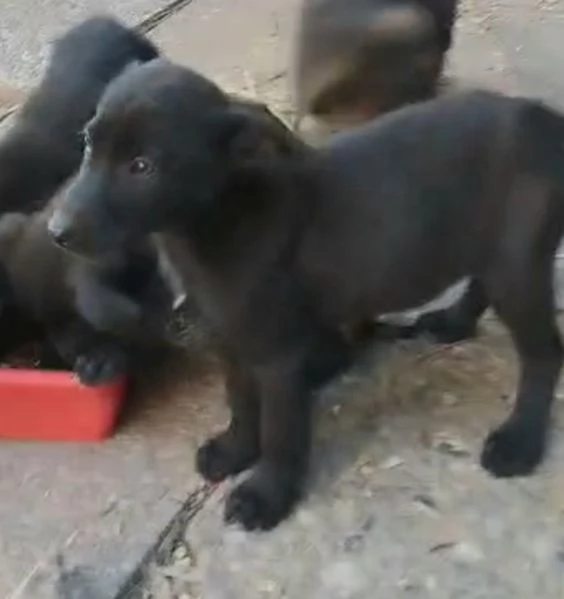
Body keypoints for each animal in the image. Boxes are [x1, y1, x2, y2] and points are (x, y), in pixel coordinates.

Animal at [47, 61, 564, 532]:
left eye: (142, 167)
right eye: (88, 142)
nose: (56, 231)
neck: (216, 223)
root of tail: (544, 118)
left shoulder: (277, 357)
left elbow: (281, 431)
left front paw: (265, 494)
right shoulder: (232, 341)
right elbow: (240, 403)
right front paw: (235, 450)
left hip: (517, 265)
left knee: (544, 353)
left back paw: (519, 441)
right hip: (492, 250)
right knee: (481, 284)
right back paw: (454, 321)